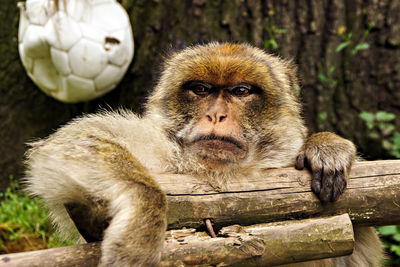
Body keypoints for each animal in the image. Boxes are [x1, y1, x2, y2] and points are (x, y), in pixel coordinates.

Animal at [25, 43, 384, 266]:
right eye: (201, 90)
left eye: (241, 91)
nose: (216, 115)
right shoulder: (152, 146)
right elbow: (72, 142)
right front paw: (143, 215)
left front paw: (325, 145)